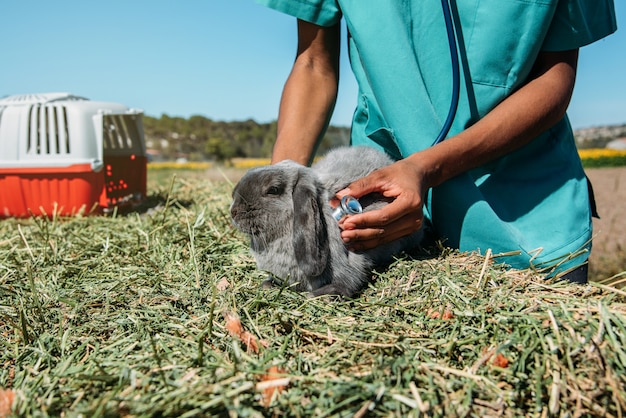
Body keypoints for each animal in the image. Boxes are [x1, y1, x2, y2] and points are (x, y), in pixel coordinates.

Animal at [229, 146, 424, 298]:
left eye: (273, 190)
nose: (233, 212)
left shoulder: (352, 262)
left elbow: (348, 281)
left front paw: (320, 294)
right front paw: (268, 284)